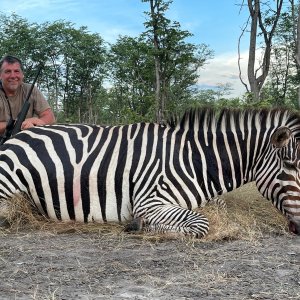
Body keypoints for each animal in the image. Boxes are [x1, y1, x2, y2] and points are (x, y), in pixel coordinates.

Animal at [0, 108, 298, 237]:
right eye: (291, 166)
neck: (195, 161)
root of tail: (17, 136)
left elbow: (220, 210)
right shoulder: (149, 201)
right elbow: (201, 224)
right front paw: (136, 225)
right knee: (7, 211)